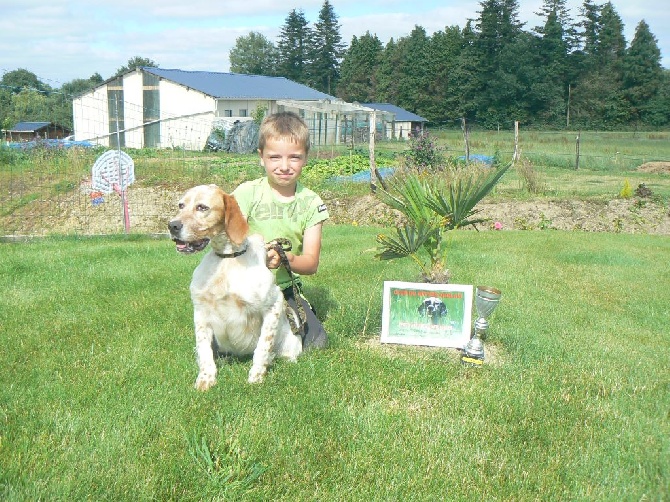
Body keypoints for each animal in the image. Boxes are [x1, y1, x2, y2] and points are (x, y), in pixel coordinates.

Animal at [169, 182, 304, 390]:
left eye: (202, 207)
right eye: (180, 205)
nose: (172, 226)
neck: (227, 259)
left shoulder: (273, 304)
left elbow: (263, 347)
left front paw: (256, 376)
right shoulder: (200, 311)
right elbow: (204, 350)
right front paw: (205, 379)